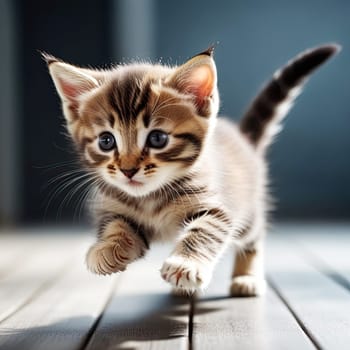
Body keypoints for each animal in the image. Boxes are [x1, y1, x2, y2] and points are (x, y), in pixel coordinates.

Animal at [45, 43, 340, 296]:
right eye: (106, 141)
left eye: (157, 138)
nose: (128, 170)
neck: (150, 198)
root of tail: (243, 140)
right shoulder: (113, 207)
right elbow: (117, 225)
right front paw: (107, 249)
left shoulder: (218, 208)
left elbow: (204, 232)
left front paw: (186, 265)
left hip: (248, 211)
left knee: (253, 239)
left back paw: (246, 278)